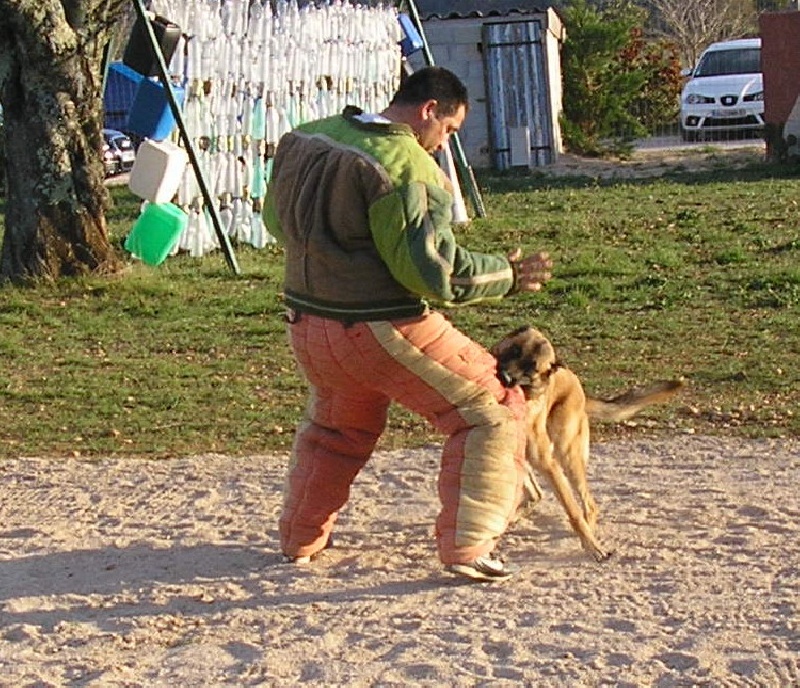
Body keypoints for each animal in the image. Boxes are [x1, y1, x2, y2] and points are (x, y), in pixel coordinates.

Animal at [494, 326, 680, 560]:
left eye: (531, 369)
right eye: (515, 350)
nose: (504, 376)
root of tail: (577, 384)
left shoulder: (549, 465)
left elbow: (573, 511)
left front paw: (593, 546)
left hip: (567, 456)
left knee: (588, 505)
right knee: (536, 494)